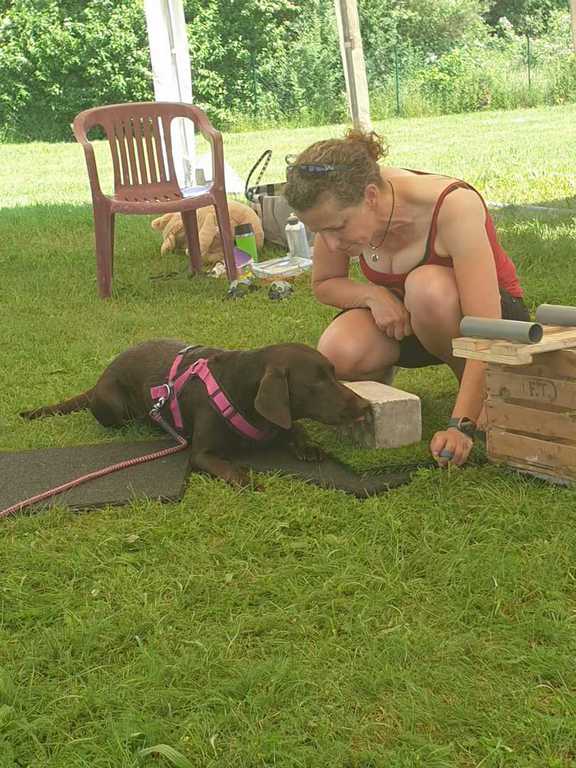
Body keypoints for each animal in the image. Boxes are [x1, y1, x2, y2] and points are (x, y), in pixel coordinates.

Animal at [21, 341, 371, 487]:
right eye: (317, 382)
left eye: (333, 373)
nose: (364, 406)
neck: (238, 391)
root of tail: (97, 382)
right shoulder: (202, 454)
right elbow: (228, 468)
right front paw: (246, 478)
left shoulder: (277, 419)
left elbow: (293, 427)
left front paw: (308, 446)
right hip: (113, 405)